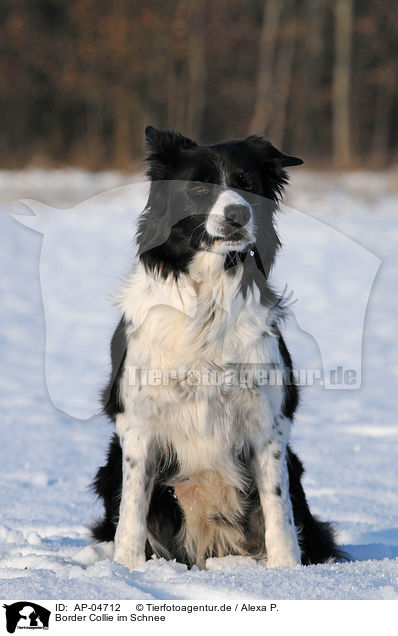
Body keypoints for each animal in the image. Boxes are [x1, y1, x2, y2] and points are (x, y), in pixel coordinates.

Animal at [91, 126, 346, 568]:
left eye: (248, 187)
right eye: (198, 187)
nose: (238, 214)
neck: (207, 296)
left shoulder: (268, 421)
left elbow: (277, 508)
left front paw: (288, 572)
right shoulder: (137, 422)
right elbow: (133, 509)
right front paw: (126, 569)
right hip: (109, 466)